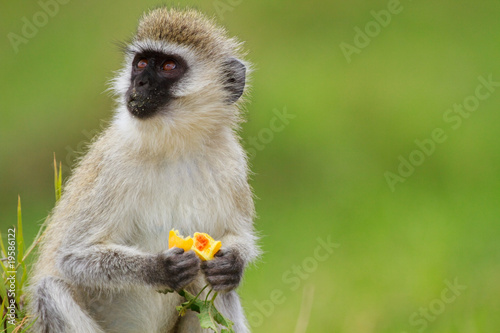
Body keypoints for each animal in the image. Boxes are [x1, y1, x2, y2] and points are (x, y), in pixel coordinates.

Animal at [28, 7, 258, 332]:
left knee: (218, 292)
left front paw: (232, 263)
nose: (139, 84)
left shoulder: (232, 162)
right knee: (49, 290)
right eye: (141, 64)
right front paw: (160, 268)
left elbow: (235, 236)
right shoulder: (113, 163)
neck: (175, 144)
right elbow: (71, 256)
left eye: (169, 65)